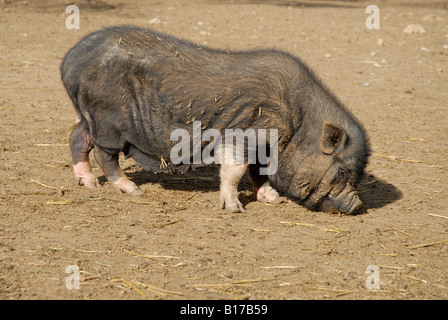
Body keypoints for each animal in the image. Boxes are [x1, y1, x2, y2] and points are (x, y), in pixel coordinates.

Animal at [62, 25, 372, 215]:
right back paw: (132, 190)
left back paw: (90, 184)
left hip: (91, 117)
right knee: (104, 154)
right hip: (108, 121)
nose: (357, 205)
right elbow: (235, 170)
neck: (297, 124)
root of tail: (68, 62)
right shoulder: (245, 134)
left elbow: (258, 171)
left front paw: (273, 199)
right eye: (342, 172)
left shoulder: (263, 146)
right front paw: (235, 209)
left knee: (77, 136)